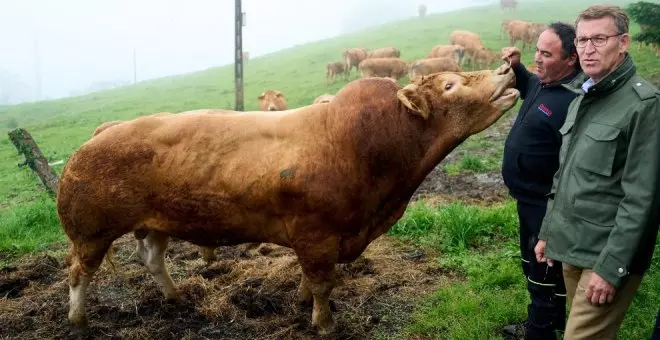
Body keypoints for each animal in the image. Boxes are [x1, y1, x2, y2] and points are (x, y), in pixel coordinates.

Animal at [58, 63, 520, 334]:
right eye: (450, 84)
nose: (507, 67)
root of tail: (105, 130)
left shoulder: (323, 238)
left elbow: (310, 280)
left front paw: (301, 301)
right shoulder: (316, 234)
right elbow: (322, 282)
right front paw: (324, 323)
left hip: (156, 224)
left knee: (152, 260)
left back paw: (176, 298)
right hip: (91, 232)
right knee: (78, 273)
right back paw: (78, 320)